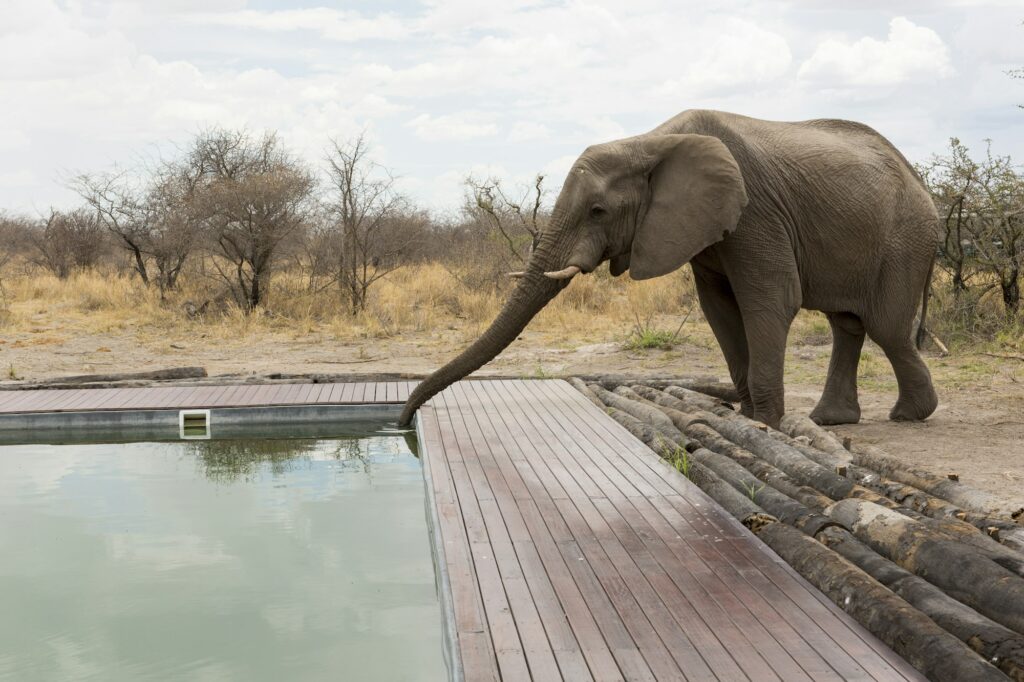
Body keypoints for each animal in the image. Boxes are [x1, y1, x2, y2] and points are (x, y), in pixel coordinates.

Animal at [395, 110, 937, 430]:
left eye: (598, 211)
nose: (404, 419)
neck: (650, 141)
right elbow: (719, 310)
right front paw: (747, 416)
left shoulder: (756, 211)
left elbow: (769, 301)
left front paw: (764, 425)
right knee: (848, 325)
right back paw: (833, 422)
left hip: (906, 239)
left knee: (887, 328)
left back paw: (908, 416)